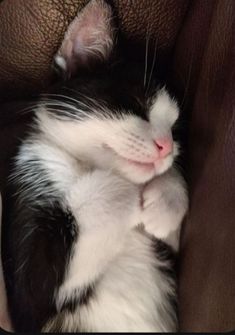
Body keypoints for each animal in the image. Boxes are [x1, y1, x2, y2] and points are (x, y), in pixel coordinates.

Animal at [1, 0, 188, 334]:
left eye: (175, 128)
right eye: (135, 103)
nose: (166, 146)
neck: (83, 165)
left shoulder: (167, 251)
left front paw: (167, 197)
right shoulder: (30, 295)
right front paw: (124, 188)